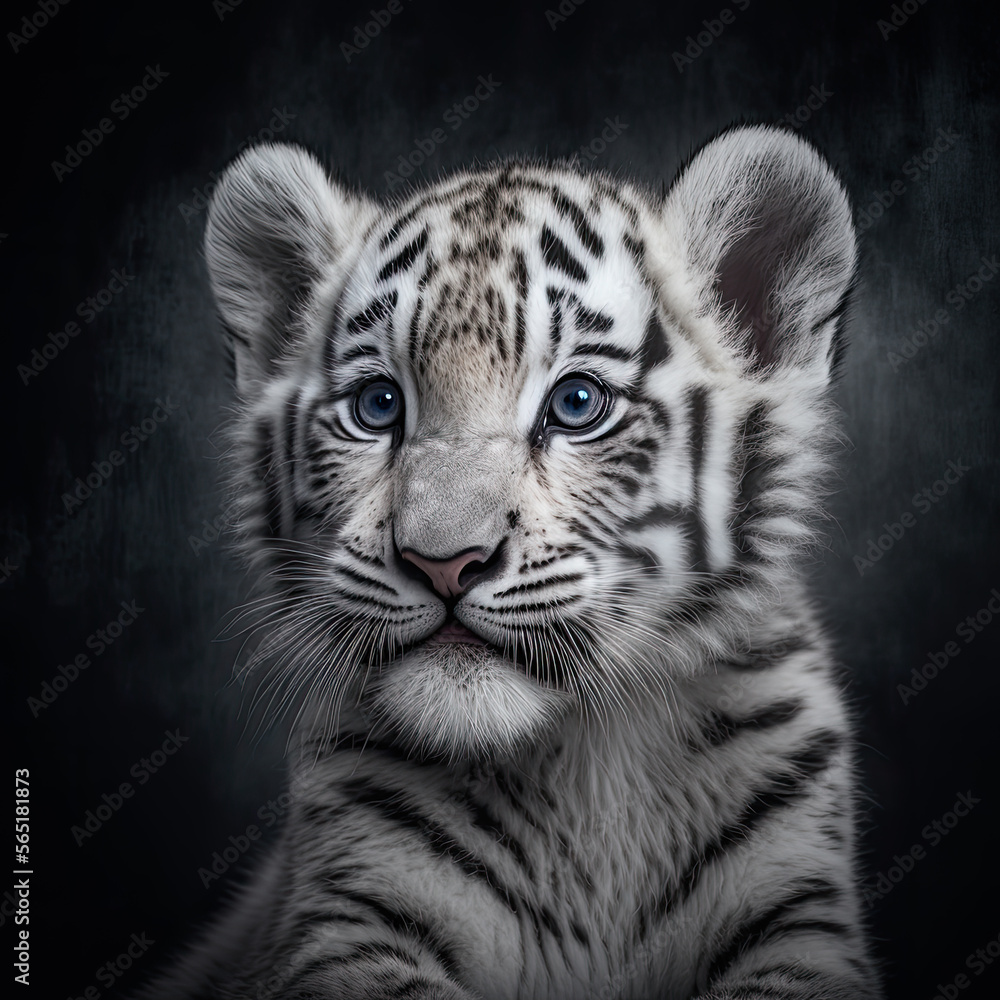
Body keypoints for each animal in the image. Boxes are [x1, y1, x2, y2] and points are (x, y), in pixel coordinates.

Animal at [140, 124, 881, 999]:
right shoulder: (348, 922)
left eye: (577, 404)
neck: (586, 773)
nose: (443, 562)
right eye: (378, 406)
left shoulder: (799, 920)